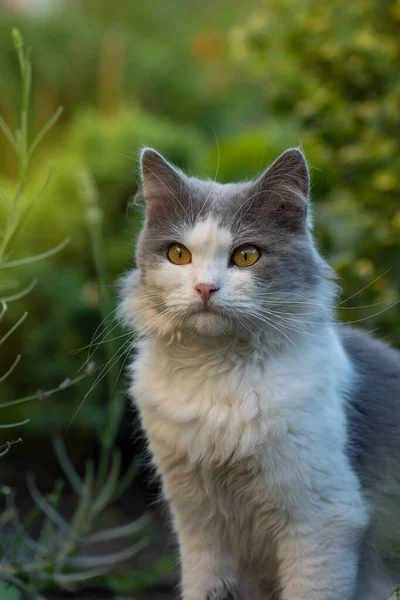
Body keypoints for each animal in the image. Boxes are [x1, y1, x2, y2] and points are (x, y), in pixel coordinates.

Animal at [119, 146, 400, 600]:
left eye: (246, 255)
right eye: (179, 254)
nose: (205, 288)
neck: (217, 374)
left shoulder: (323, 518)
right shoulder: (197, 520)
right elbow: (202, 584)